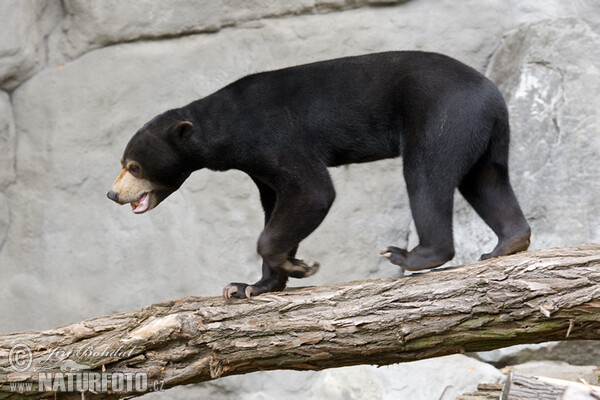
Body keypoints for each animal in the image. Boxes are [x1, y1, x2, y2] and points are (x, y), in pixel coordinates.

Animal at [106, 51, 528, 298]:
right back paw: (507, 244)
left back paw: (410, 256)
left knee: (426, 175)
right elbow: (276, 204)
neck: (225, 129)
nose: (113, 194)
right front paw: (249, 286)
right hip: (482, 134)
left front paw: (298, 266)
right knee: (487, 180)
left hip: (441, 118)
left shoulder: (275, 137)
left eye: (133, 166)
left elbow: (312, 191)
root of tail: (492, 94)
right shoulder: (257, 165)